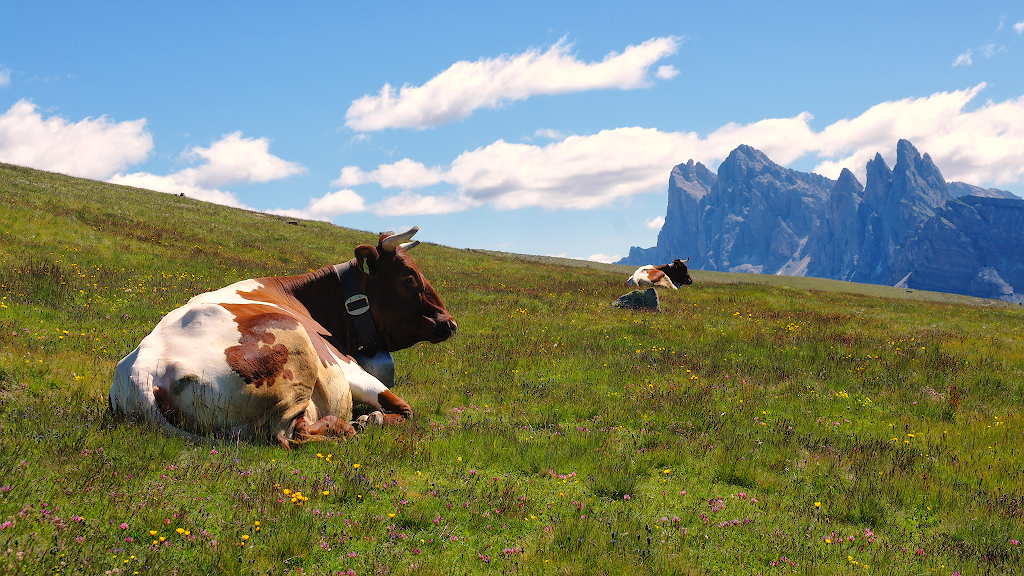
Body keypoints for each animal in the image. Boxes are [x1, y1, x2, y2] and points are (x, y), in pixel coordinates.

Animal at [109, 225, 456, 448]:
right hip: (294, 351)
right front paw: (374, 418)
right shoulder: (346, 366)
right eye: (409, 278)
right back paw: (346, 426)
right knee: (290, 434)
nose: (450, 323)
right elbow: (404, 409)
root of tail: (143, 370)